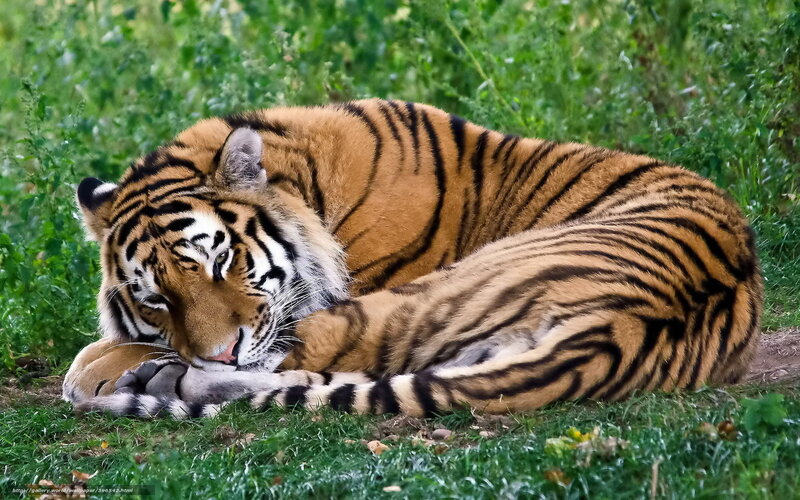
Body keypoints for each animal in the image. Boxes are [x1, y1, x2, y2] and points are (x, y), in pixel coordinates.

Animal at [63, 98, 763, 419]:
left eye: (219, 263)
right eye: (157, 297)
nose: (221, 351)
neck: (306, 184)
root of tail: (615, 329)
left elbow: (106, 349)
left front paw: (100, 371)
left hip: (417, 296)